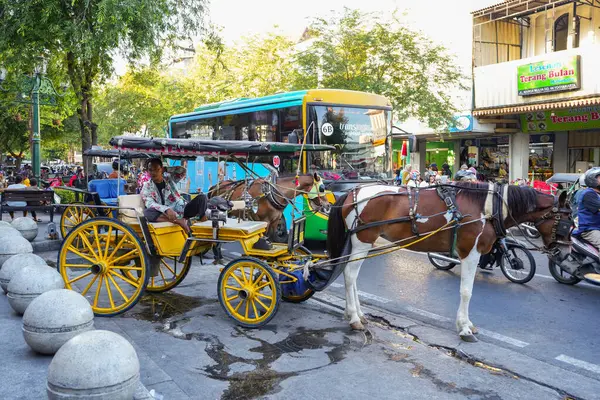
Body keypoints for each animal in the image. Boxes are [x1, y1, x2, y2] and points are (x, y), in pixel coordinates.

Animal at [328, 183, 572, 342]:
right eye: (567, 221)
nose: (565, 253)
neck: (488, 208)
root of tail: (352, 193)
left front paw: (467, 324)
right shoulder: (470, 253)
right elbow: (466, 291)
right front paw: (464, 327)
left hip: (361, 244)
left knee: (352, 277)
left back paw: (356, 313)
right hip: (362, 241)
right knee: (349, 275)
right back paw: (354, 318)